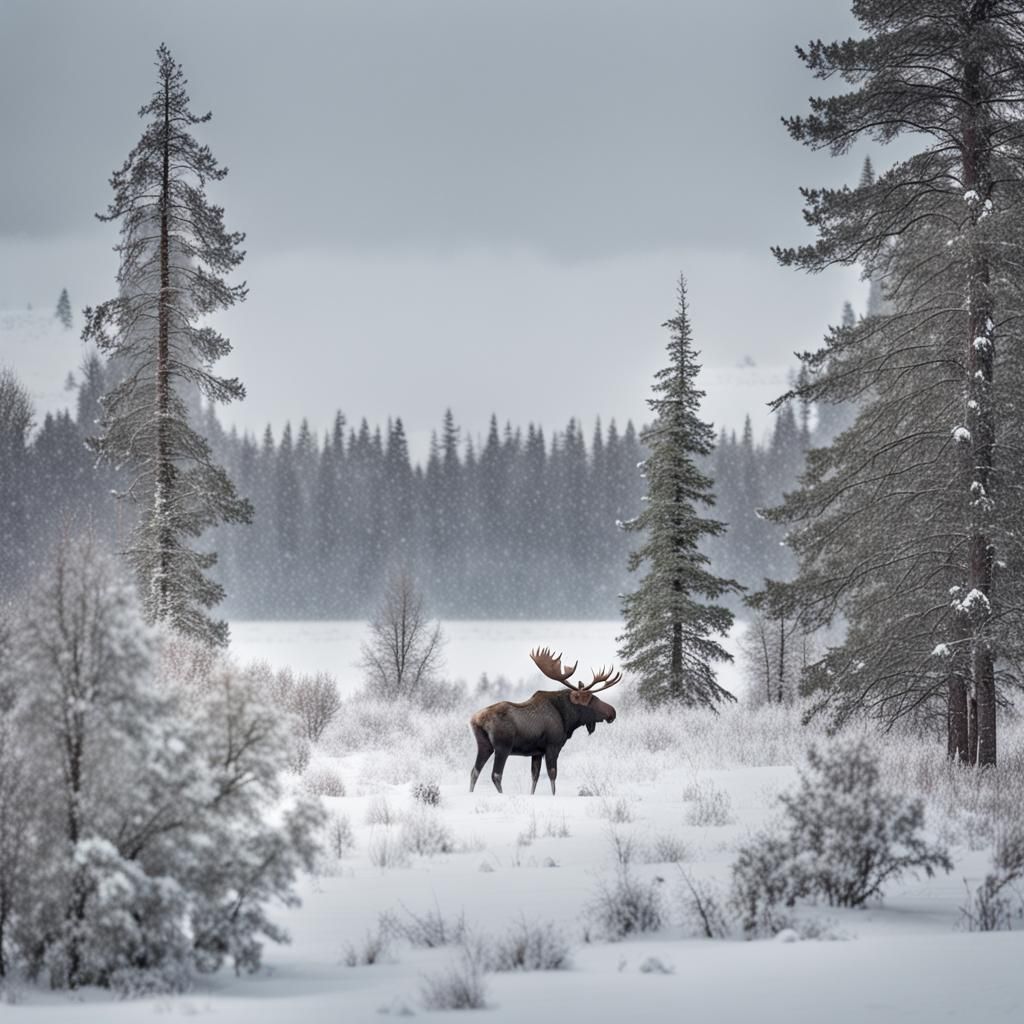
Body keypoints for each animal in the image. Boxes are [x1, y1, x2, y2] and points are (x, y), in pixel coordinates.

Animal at [469, 646, 622, 795]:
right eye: (592, 699)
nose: (612, 712)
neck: (567, 719)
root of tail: (476, 719)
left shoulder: (537, 752)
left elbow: (534, 778)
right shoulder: (552, 746)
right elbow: (552, 775)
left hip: (485, 746)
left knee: (474, 771)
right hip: (502, 747)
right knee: (496, 775)